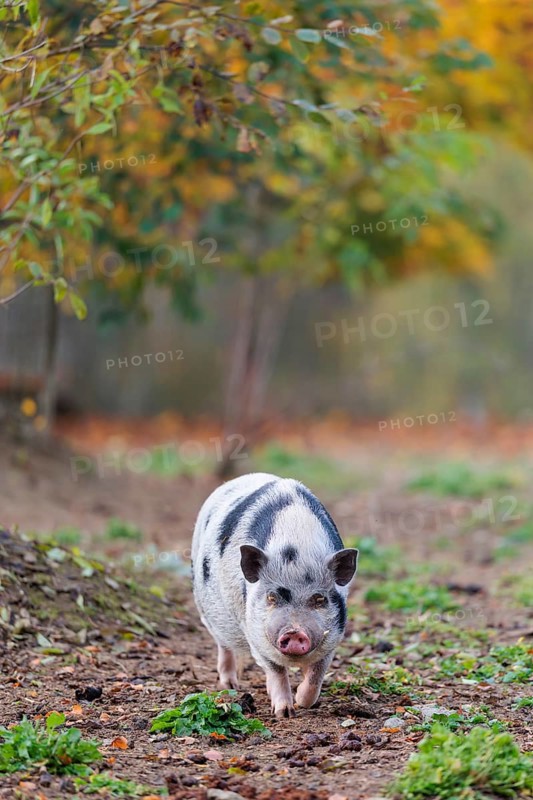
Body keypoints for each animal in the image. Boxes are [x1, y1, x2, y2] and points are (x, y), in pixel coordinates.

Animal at [191, 472, 358, 718]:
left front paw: (302, 702)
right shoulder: (256, 635)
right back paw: (231, 685)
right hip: (209, 612)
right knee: (224, 646)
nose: (295, 632)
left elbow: (316, 675)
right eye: (271, 597)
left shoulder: (333, 637)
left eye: (320, 599)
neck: (297, 547)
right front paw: (284, 713)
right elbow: (276, 671)